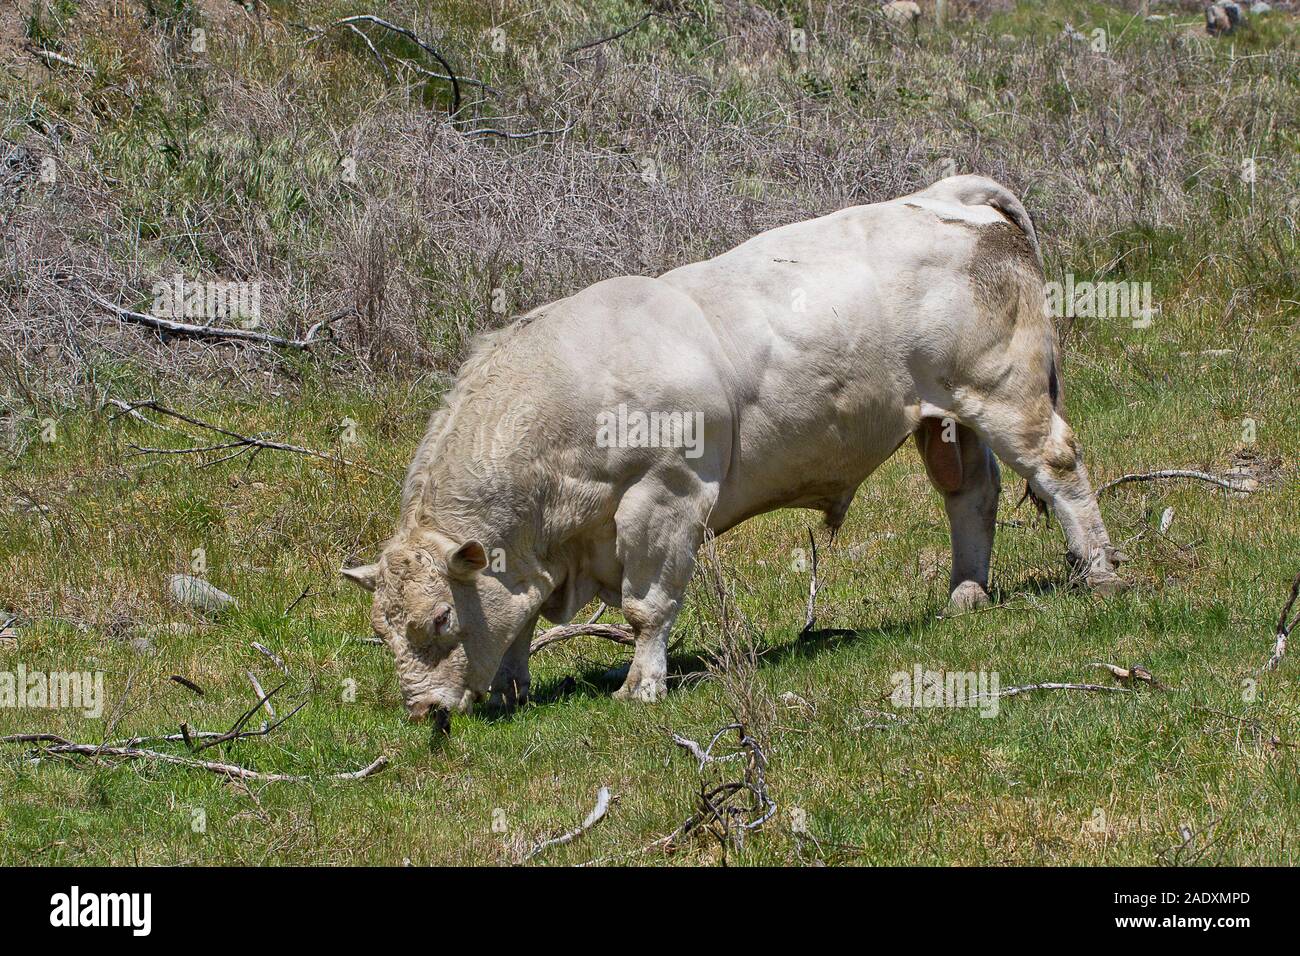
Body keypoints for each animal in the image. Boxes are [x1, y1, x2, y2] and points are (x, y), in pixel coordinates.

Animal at [345, 175, 1128, 723]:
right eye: (383, 628)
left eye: (439, 620)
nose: (422, 709)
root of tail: (946, 195)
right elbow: (519, 618)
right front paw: (512, 687)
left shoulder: (666, 496)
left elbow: (647, 607)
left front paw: (640, 686)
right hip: (948, 418)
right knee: (971, 493)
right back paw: (966, 593)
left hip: (1006, 394)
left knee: (1058, 465)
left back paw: (1099, 573)